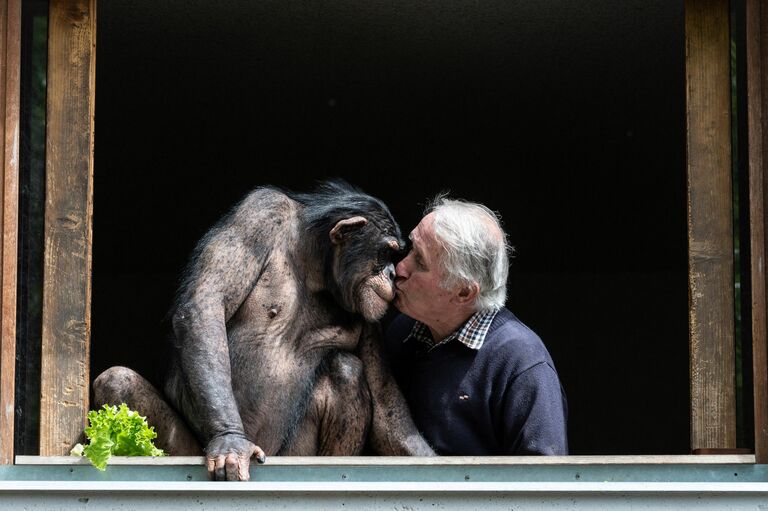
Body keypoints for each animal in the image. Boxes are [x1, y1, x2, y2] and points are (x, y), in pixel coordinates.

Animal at [91, 179, 432, 480]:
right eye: (386, 252)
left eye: (396, 256)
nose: (392, 274)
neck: (314, 264)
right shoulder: (258, 214)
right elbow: (206, 305)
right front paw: (230, 441)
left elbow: (386, 408)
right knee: (117, 381)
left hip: (291, 453)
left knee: (346, 370)